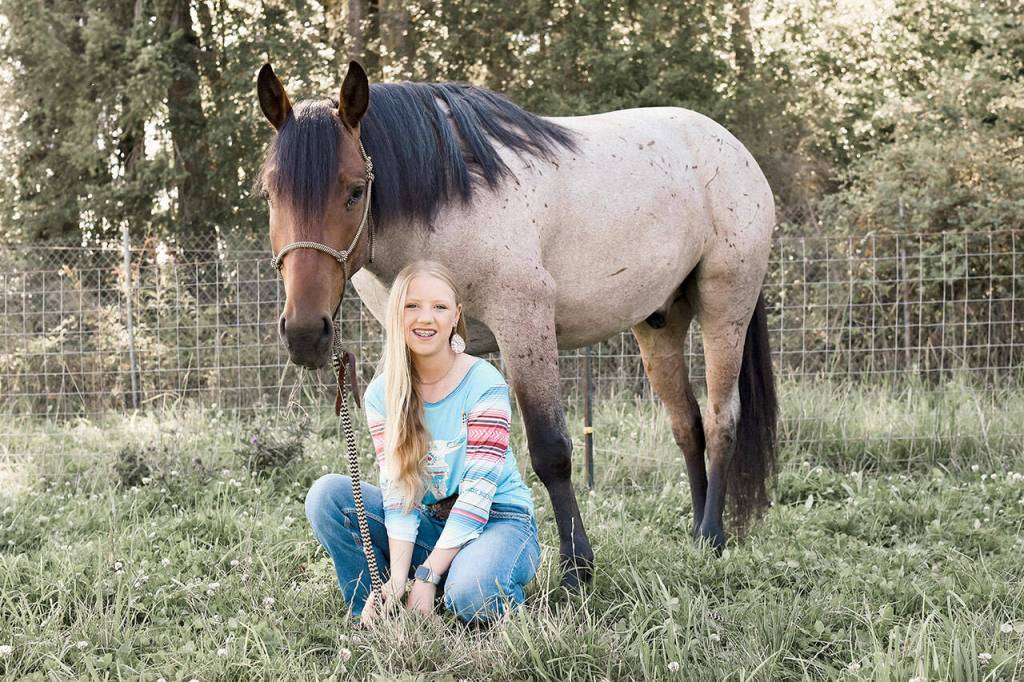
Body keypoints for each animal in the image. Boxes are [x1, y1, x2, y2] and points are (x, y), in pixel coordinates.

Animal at [256, 61, 778, 589]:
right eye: (270, 193)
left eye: (355, 191)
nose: (304, 333)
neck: (449, 201)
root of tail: (733, 149)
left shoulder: (524, 325)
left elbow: (552, 452)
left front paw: (576, 569)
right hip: (659, 324)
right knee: (687, 424)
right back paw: (696, 530)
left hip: (724, 308)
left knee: (720, 420)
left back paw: (711, 537)